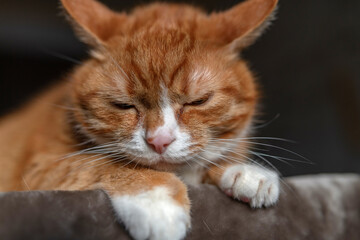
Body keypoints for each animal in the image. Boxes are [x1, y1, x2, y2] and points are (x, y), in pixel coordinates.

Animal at [0, 0, 278, 239]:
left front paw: (245, 172)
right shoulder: (42, 168)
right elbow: (108, 164)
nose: (159, 141)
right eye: (123, 105)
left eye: (198, 101)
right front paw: (159, 205)